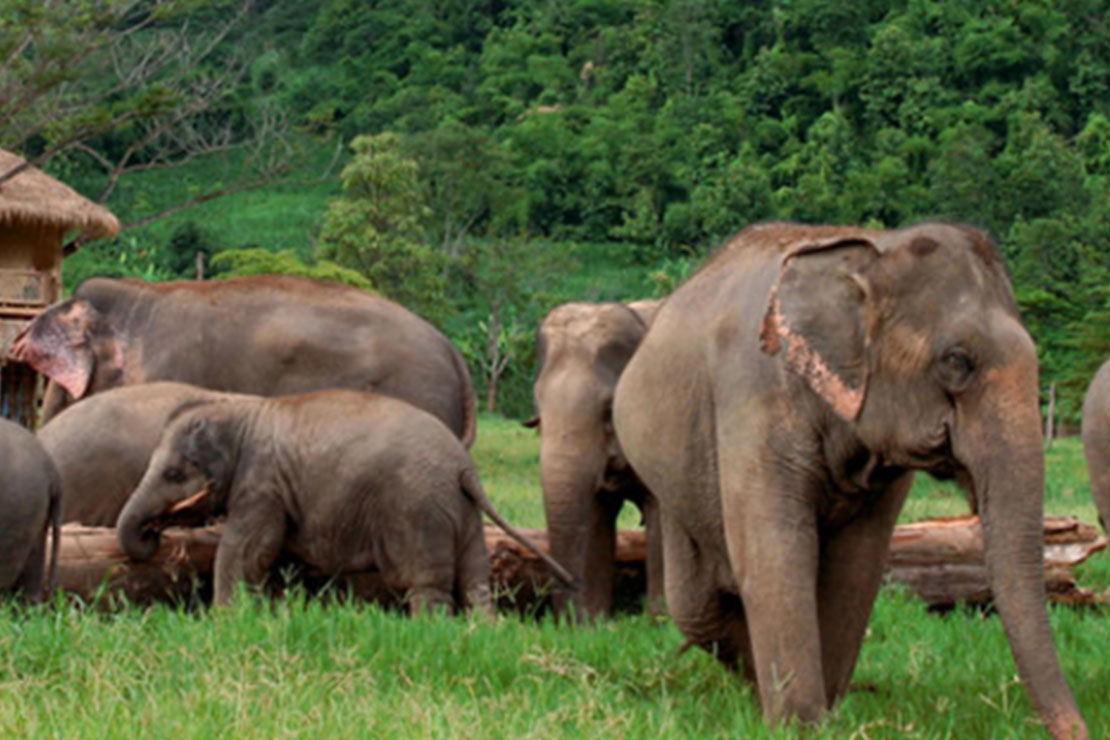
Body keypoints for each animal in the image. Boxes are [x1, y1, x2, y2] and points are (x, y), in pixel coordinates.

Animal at [116, 389, 576, 610]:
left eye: (174, 474)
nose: (152, 537)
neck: (239, 411)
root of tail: (464, 466)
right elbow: (274, 557)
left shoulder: (262, 486)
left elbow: (245, 551)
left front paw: (226, 618)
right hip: (460, 512)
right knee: (476, 580)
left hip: (418, 510)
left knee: (425, 584)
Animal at [527, 299, 664, 619]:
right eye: (538, 405)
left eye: (608, 408)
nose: (568, 621)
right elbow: (597, 516)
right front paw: (596, 619)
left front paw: (660, 620)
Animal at [612, 222, 1087, 739]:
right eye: (956, 362)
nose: (1080, 730)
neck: (874, 253)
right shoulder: (754, 395)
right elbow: (775, 551)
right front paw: (801, 724)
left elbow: (857, 564)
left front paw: (825, 711)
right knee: (696, 603)